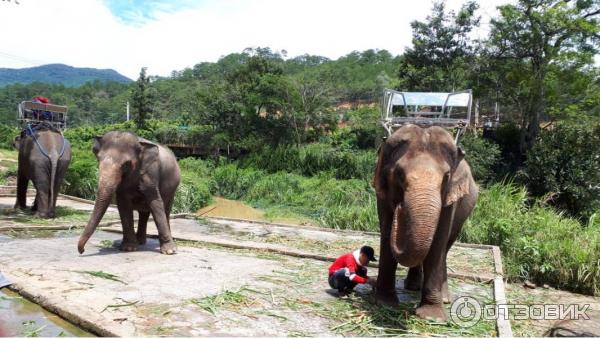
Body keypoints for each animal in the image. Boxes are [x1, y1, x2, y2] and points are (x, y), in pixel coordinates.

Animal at [372, 125, 480, 322]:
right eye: (399, 174)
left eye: (446, 176)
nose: (400, 207)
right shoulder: (381, 192)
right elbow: (386, 232)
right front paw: (385, 304)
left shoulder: (451, 198)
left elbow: (438, 241)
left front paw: (432, 317)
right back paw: (412, 287)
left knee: (446, 247)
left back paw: (444, 298)